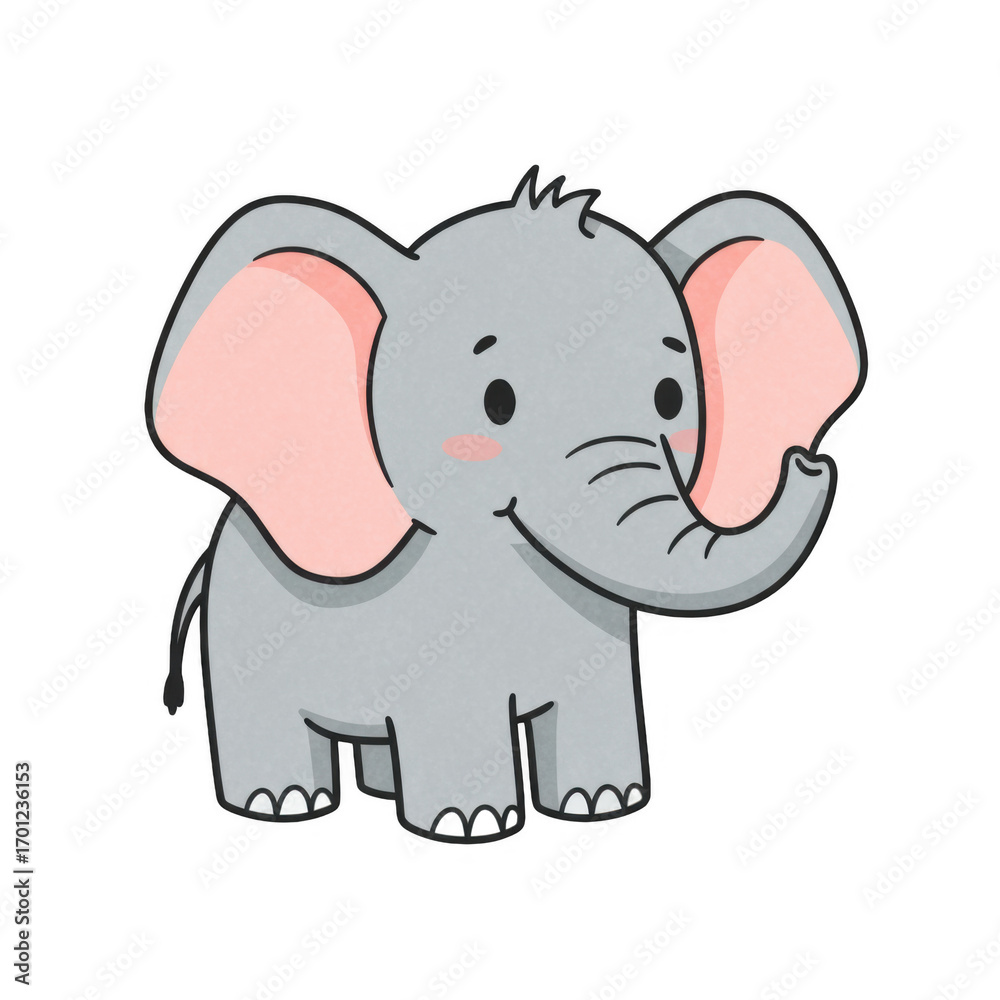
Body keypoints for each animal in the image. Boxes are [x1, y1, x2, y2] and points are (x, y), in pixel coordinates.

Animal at [146, 167, 865, 843]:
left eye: (671, 398)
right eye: (497, 401)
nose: (808, 458)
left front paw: (604, 803)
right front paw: (470, 825)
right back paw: (284, 804)